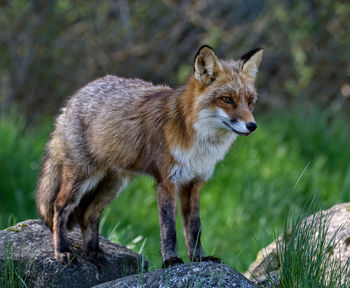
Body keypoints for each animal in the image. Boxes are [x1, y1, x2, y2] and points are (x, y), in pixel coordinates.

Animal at [36, 44, 262, 268]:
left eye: (250, 101)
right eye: (227, 99)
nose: (252, 126)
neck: (199, 144)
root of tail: (73, 98)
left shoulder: (194, 182)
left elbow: (194, 227)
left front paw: (199, 258)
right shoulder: (167, 181)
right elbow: (168, 229)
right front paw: (171, 260)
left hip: (112, 185)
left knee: (88, 215)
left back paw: (94, 253)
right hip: (82, 178)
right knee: (59, 207)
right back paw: (62, 251)